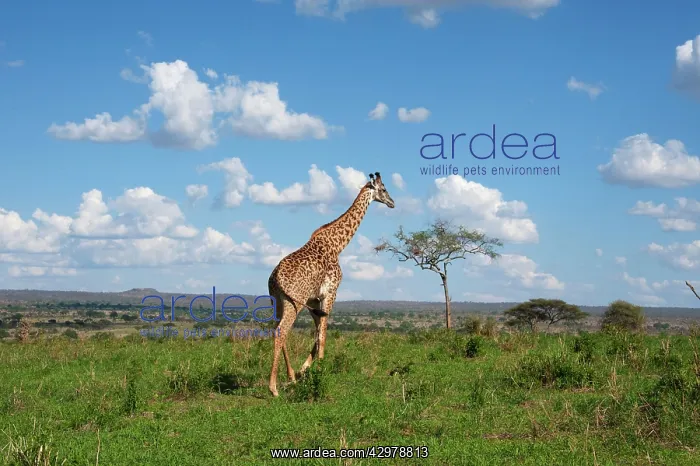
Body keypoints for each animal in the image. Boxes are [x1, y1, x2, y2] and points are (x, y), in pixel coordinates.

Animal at [266, 172, 395, 397]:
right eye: (384, 189)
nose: (392, 203)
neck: (337, 246)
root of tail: (275, 279)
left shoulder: (314, 300)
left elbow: (318, 333)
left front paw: (304, 370)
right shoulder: (330, 292)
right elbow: (323, 335)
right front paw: (320, 369)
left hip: (278, 301)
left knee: (279, 330)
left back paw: (290, 377)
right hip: (293, 303)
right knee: (281, 331)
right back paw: (273, 388)